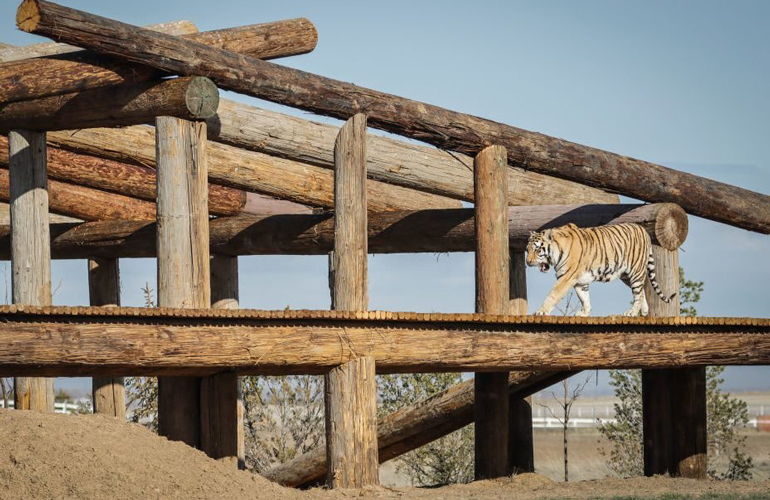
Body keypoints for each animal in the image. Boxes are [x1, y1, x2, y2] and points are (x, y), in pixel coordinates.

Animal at [525, 222, 675, 317]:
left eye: (537, 249)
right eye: (527, 250)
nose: (528, 262)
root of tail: (644, 230)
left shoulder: (566, 277)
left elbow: (552, 295)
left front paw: (541, 311)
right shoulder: (580, 281)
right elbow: (584, 298)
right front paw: (584, 313)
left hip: (635, 271)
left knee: (638, 293)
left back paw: (632, 312)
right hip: (626, 275)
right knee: (641, 290)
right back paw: (643, 311)